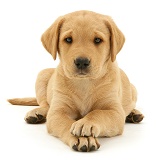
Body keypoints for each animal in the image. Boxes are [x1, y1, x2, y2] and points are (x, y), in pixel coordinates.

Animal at [8, 10, 144, 152]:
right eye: (68, 39)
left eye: (97, 40)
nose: (82, 62)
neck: (84, 83)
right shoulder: (57, 112)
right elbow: (67, 123)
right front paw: (82, 138)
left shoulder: (115, 112)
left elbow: (98, 113)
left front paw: (86, 123)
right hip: (42, 75)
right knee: (46, 105)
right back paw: (37, 113)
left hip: (133, 89)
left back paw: (133, 114)